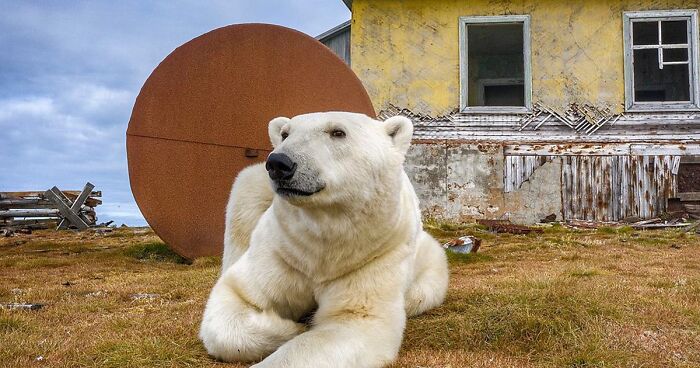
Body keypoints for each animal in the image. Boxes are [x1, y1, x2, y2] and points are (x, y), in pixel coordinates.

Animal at [200, 110, 448, 366]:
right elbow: (238, 296)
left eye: (338, 132)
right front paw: (290, 328)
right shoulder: (282, 250)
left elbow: (355, 319)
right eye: (285, 133)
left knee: (424, 290)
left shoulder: (374, 255)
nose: (279, 163)